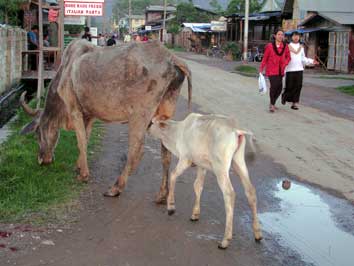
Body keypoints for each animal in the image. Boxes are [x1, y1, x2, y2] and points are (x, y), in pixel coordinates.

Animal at [20, 39, 191, 201]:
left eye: (37, 133)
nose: (42, 159)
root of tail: (171, 58)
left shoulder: (74, 109)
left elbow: (81, 142)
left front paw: (83, 175)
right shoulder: (89, 116)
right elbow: (86, 138)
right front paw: (78, 166)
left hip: (139, 115)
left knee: (137, 150)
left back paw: (115, 188)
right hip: (165, 113)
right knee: (166, 154)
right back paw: (162, 194)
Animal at [148, 112, 262, 249]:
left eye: (152, 122)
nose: (147, 130)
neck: (178, 131)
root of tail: (235, 128)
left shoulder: (185, 159)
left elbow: (173, 175)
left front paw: (171, 207)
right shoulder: (201, 166)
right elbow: (197, 186)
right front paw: (195, 214)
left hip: (220, 168)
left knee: (229, 194)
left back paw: (225, 240)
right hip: (238, 162)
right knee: (250, 191)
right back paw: (257, 234)